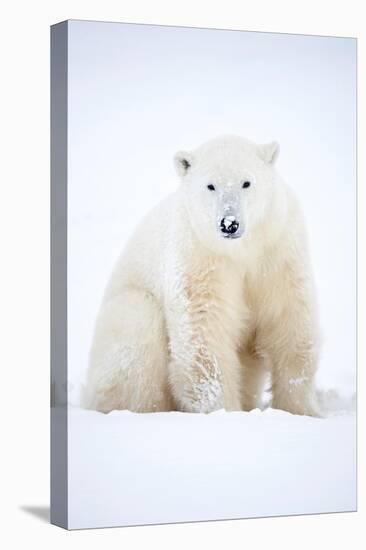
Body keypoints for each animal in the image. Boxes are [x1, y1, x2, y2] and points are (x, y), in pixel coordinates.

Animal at [85, 136, 320, 416]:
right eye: (211, 185)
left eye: (246, 182)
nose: (229, 223)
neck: (241, 250)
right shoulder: (199, 254)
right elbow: (204, 333)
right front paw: (224, 412)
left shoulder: (277, 251)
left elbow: (289, 321)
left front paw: (301, 411)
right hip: (126, 313)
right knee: (137, 331)